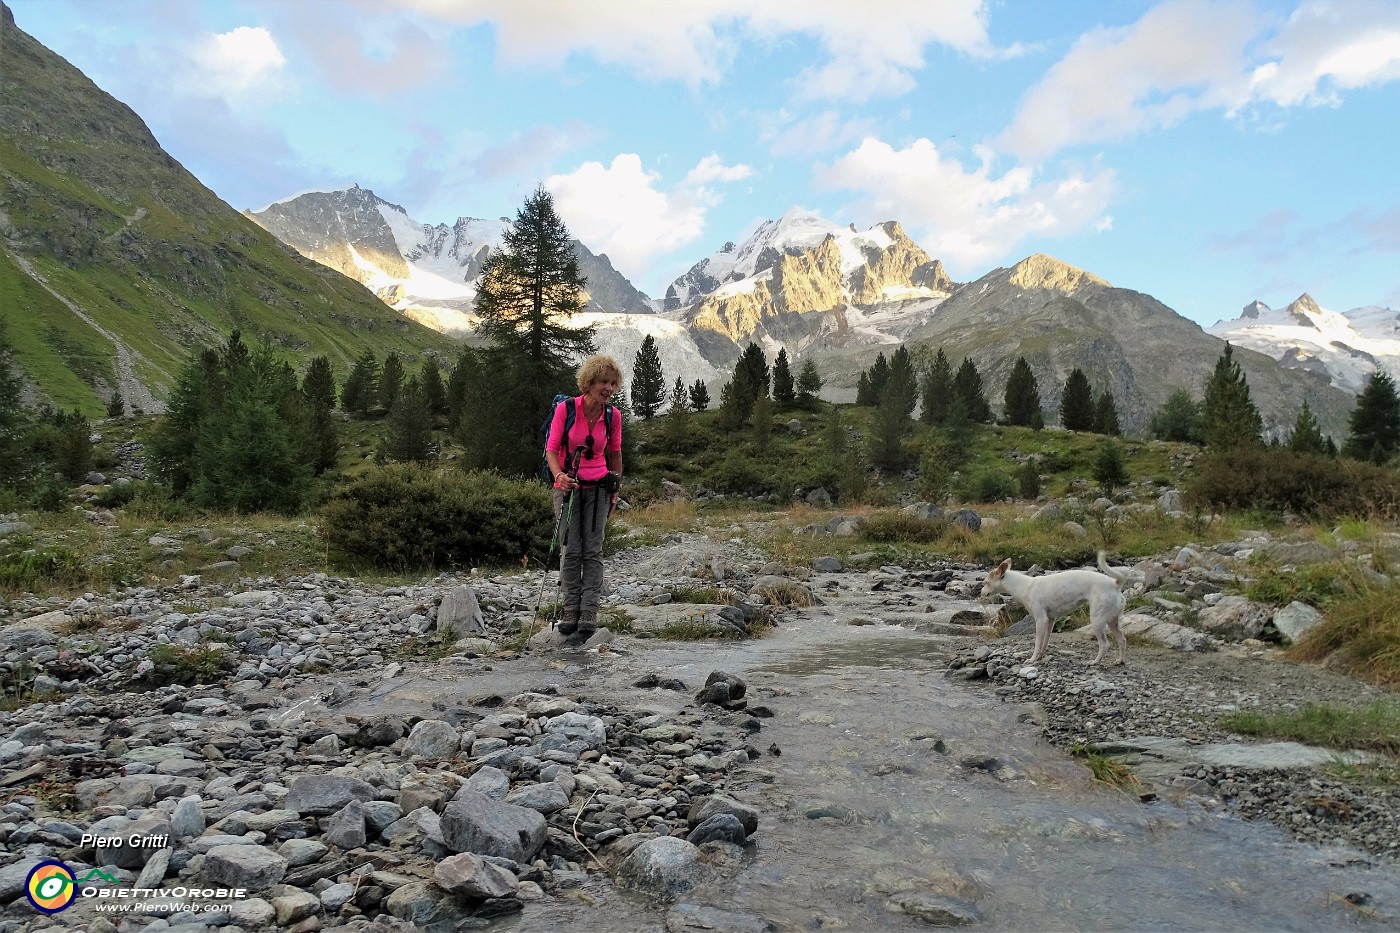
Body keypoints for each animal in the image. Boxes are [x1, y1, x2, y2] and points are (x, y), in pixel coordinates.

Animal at [980, 549, 1131, 664]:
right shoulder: (1050, 621)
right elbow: (1045, 642)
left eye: (986, 582)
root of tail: (1115, 584)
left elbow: (1037, 642)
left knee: (1105, 644)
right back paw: (1120, 661)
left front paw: (1032, 659)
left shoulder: (1041, 620)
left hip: (1097, 620)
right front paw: (1040, 656)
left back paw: (1095, 662)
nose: (980, 592)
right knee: (1122, 640)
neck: (1024, 586)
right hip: (1112, 621)